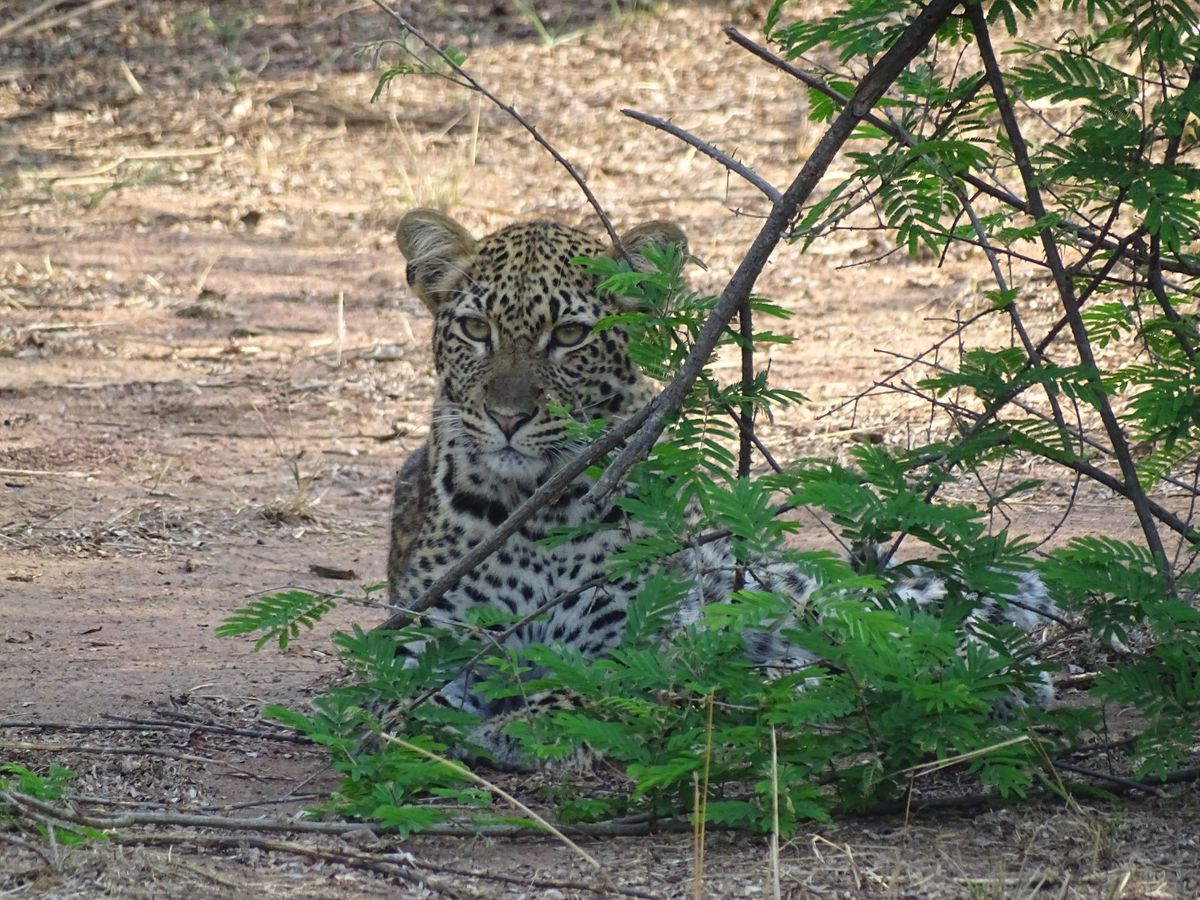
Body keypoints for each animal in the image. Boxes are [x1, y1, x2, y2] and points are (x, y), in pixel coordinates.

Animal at [379, 208, 1059, 769]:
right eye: (475, 328)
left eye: (569, 336)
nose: (508, 417)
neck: (536, 508)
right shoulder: (429, 638)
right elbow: (398, 697)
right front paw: (422, 726)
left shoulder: (643, 634)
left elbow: (592, 686)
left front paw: (522, 726)